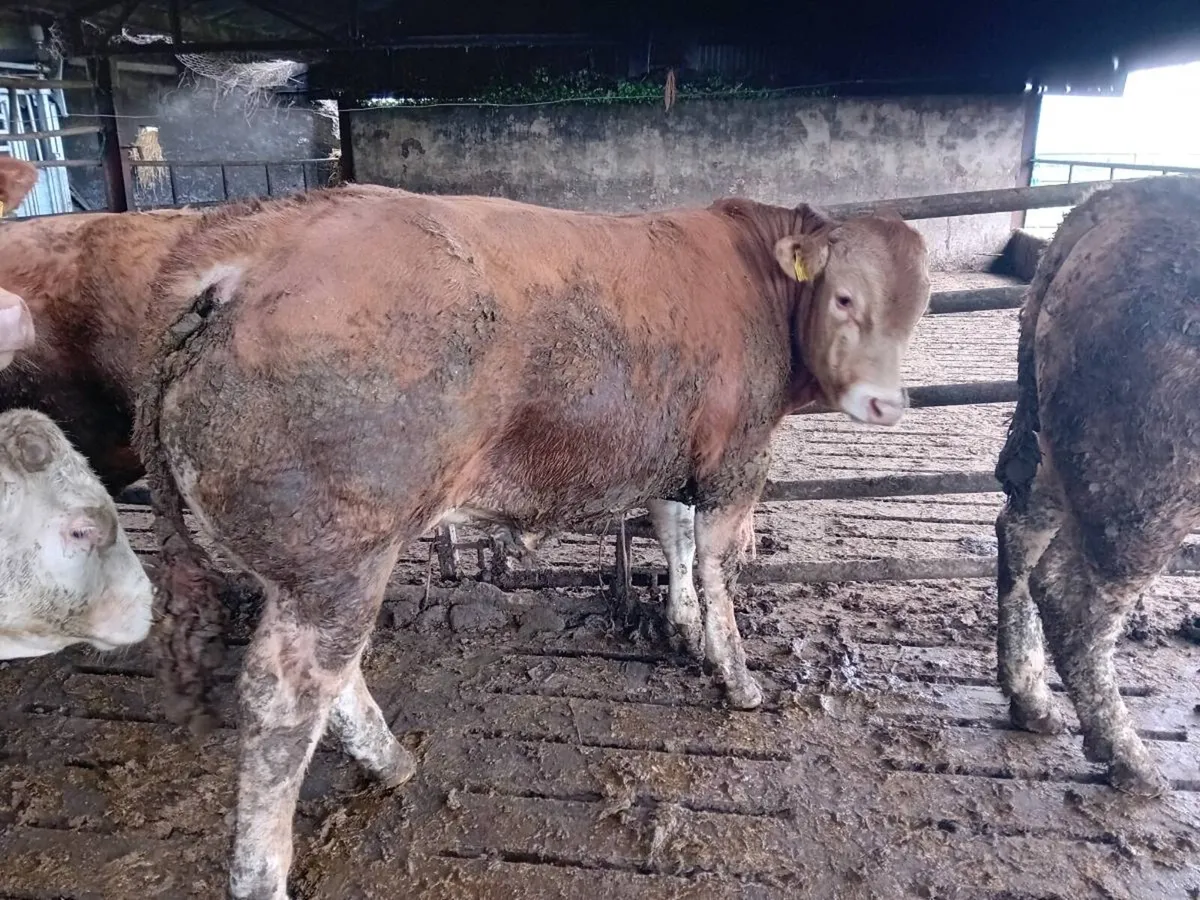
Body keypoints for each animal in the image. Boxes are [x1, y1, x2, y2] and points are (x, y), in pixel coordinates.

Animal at [132, 185, 930, 898]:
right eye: (844, 297)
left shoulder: (675, 455)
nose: (886, 403)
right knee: (284, 702)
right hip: (336, 557)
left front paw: (681, 625)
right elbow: (717, 567)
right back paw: (264, 872)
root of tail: (253, 245)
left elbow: (672, 537)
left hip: (317, 566)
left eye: (919, 305)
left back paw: (390, 761)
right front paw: (736, 677)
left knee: (333, 677)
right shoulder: (737, 462)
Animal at [995, 175, 1200, 798]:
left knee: (1021, 532)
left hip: (1060, 449)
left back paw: (1033, 703)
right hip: (1147, 481)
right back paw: (1131, 762)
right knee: (1075, 599)